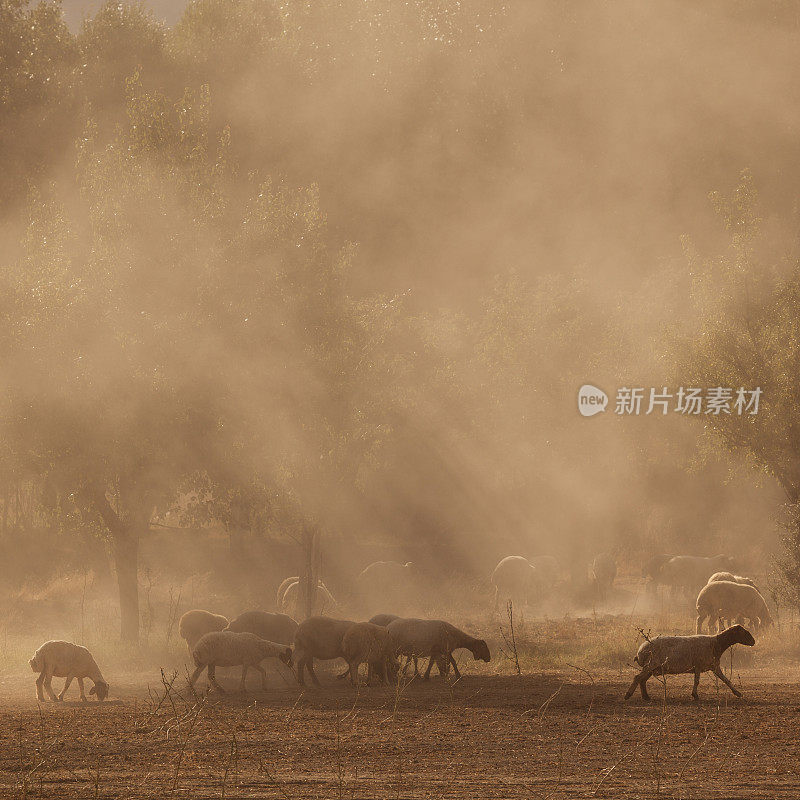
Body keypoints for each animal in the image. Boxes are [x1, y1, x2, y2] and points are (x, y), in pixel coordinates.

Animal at [624, 624, 756, 700]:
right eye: (743, 632)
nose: (753, 641)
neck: (716, 644)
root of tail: (640, 651)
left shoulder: (713, 666)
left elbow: (726, 680)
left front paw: (737, 693)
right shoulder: (698, 665)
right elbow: (697, 681)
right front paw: (695, 695)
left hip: (652, 667)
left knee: (642, 680)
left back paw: (646, 697)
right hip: (651, 664)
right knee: (637, 677)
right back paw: (628, 695)